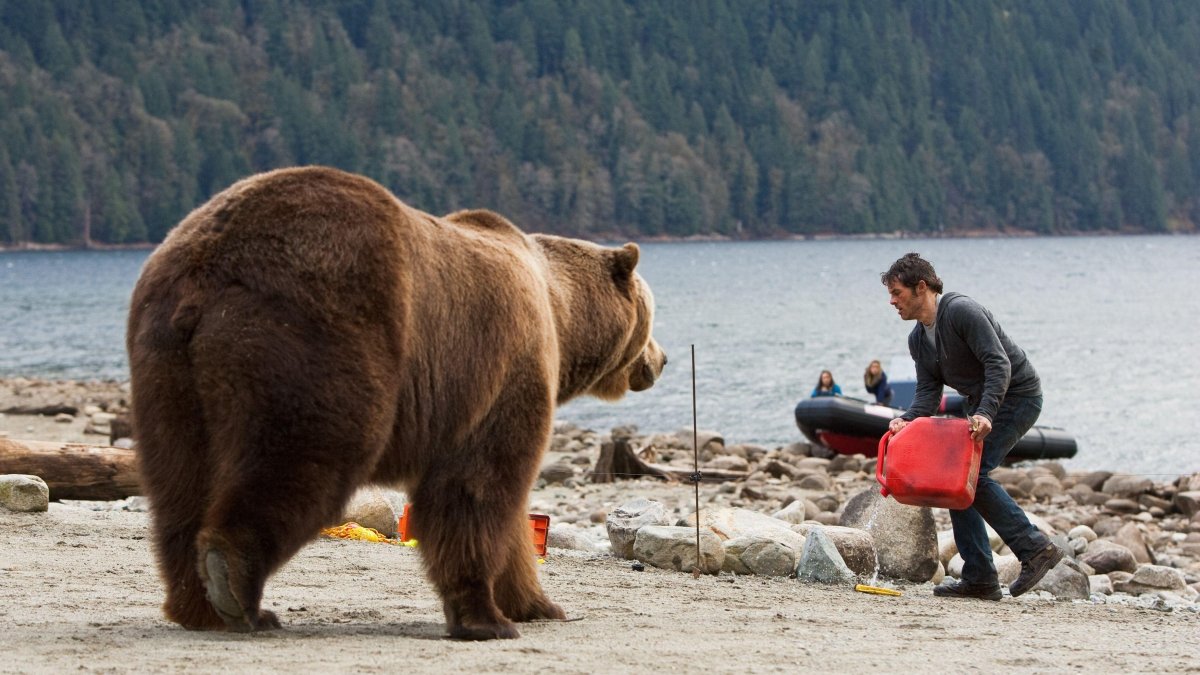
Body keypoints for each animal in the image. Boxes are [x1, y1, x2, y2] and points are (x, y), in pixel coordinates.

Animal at [126, 166, 666, 640]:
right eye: (652, 315)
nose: (660, 361)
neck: (561, 314)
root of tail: (209, 269)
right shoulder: (501, 377)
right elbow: (478, 489)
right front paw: (486, 618)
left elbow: (507, 513)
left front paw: (537, 603)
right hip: (318, 338)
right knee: (299, 461)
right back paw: (235, 583)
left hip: (166, 367)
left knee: (182, 481)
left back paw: (199, 605)